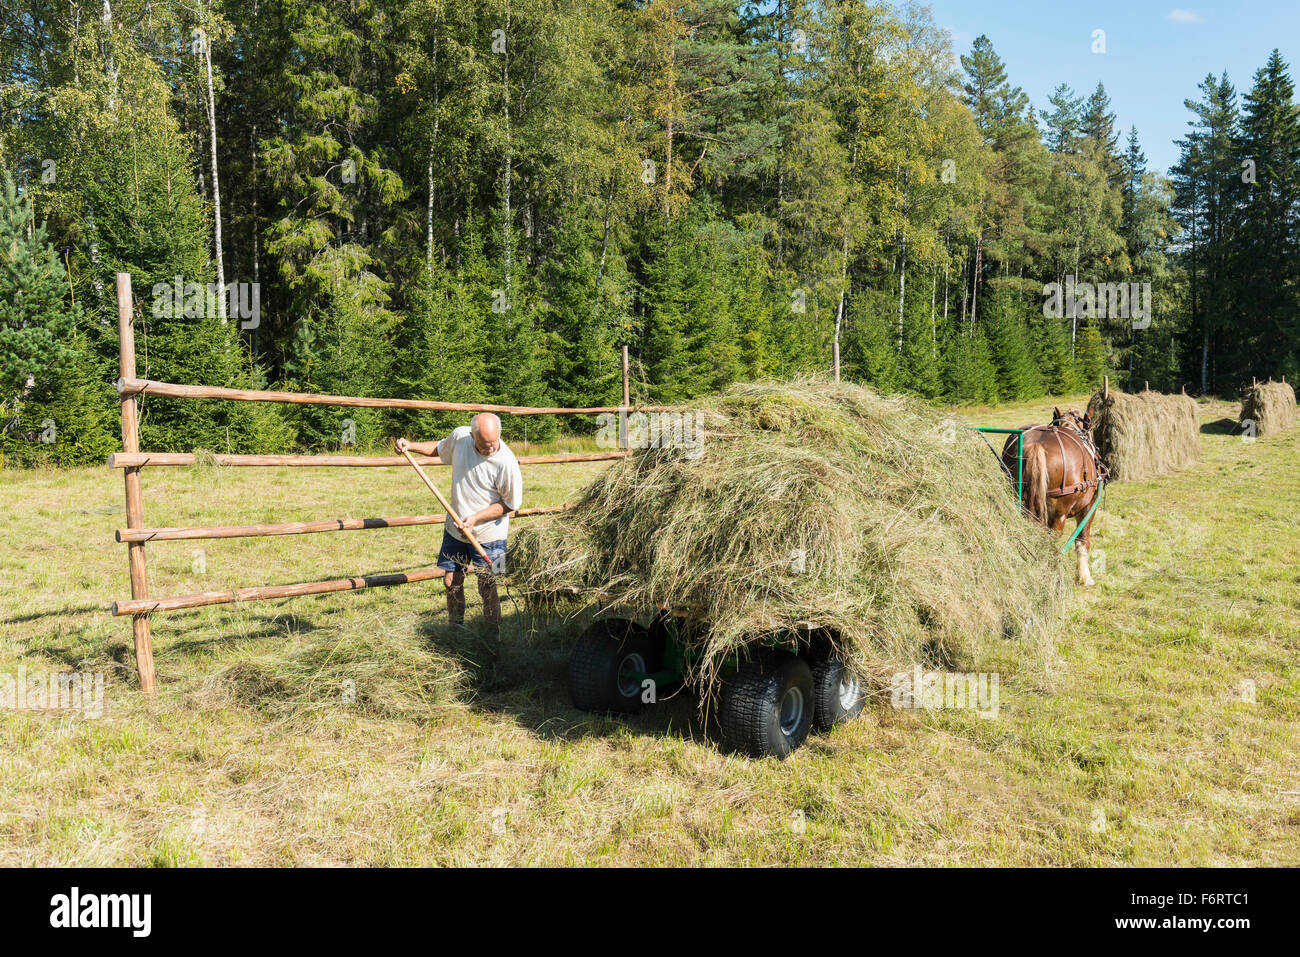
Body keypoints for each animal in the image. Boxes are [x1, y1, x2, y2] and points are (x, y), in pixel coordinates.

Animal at [998, 405, 1102, 582]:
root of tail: (1036, 445)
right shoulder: (1089, 506)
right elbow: (1082, 540)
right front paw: (1085, 577)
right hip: (1060, 512)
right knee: (1052, 538)